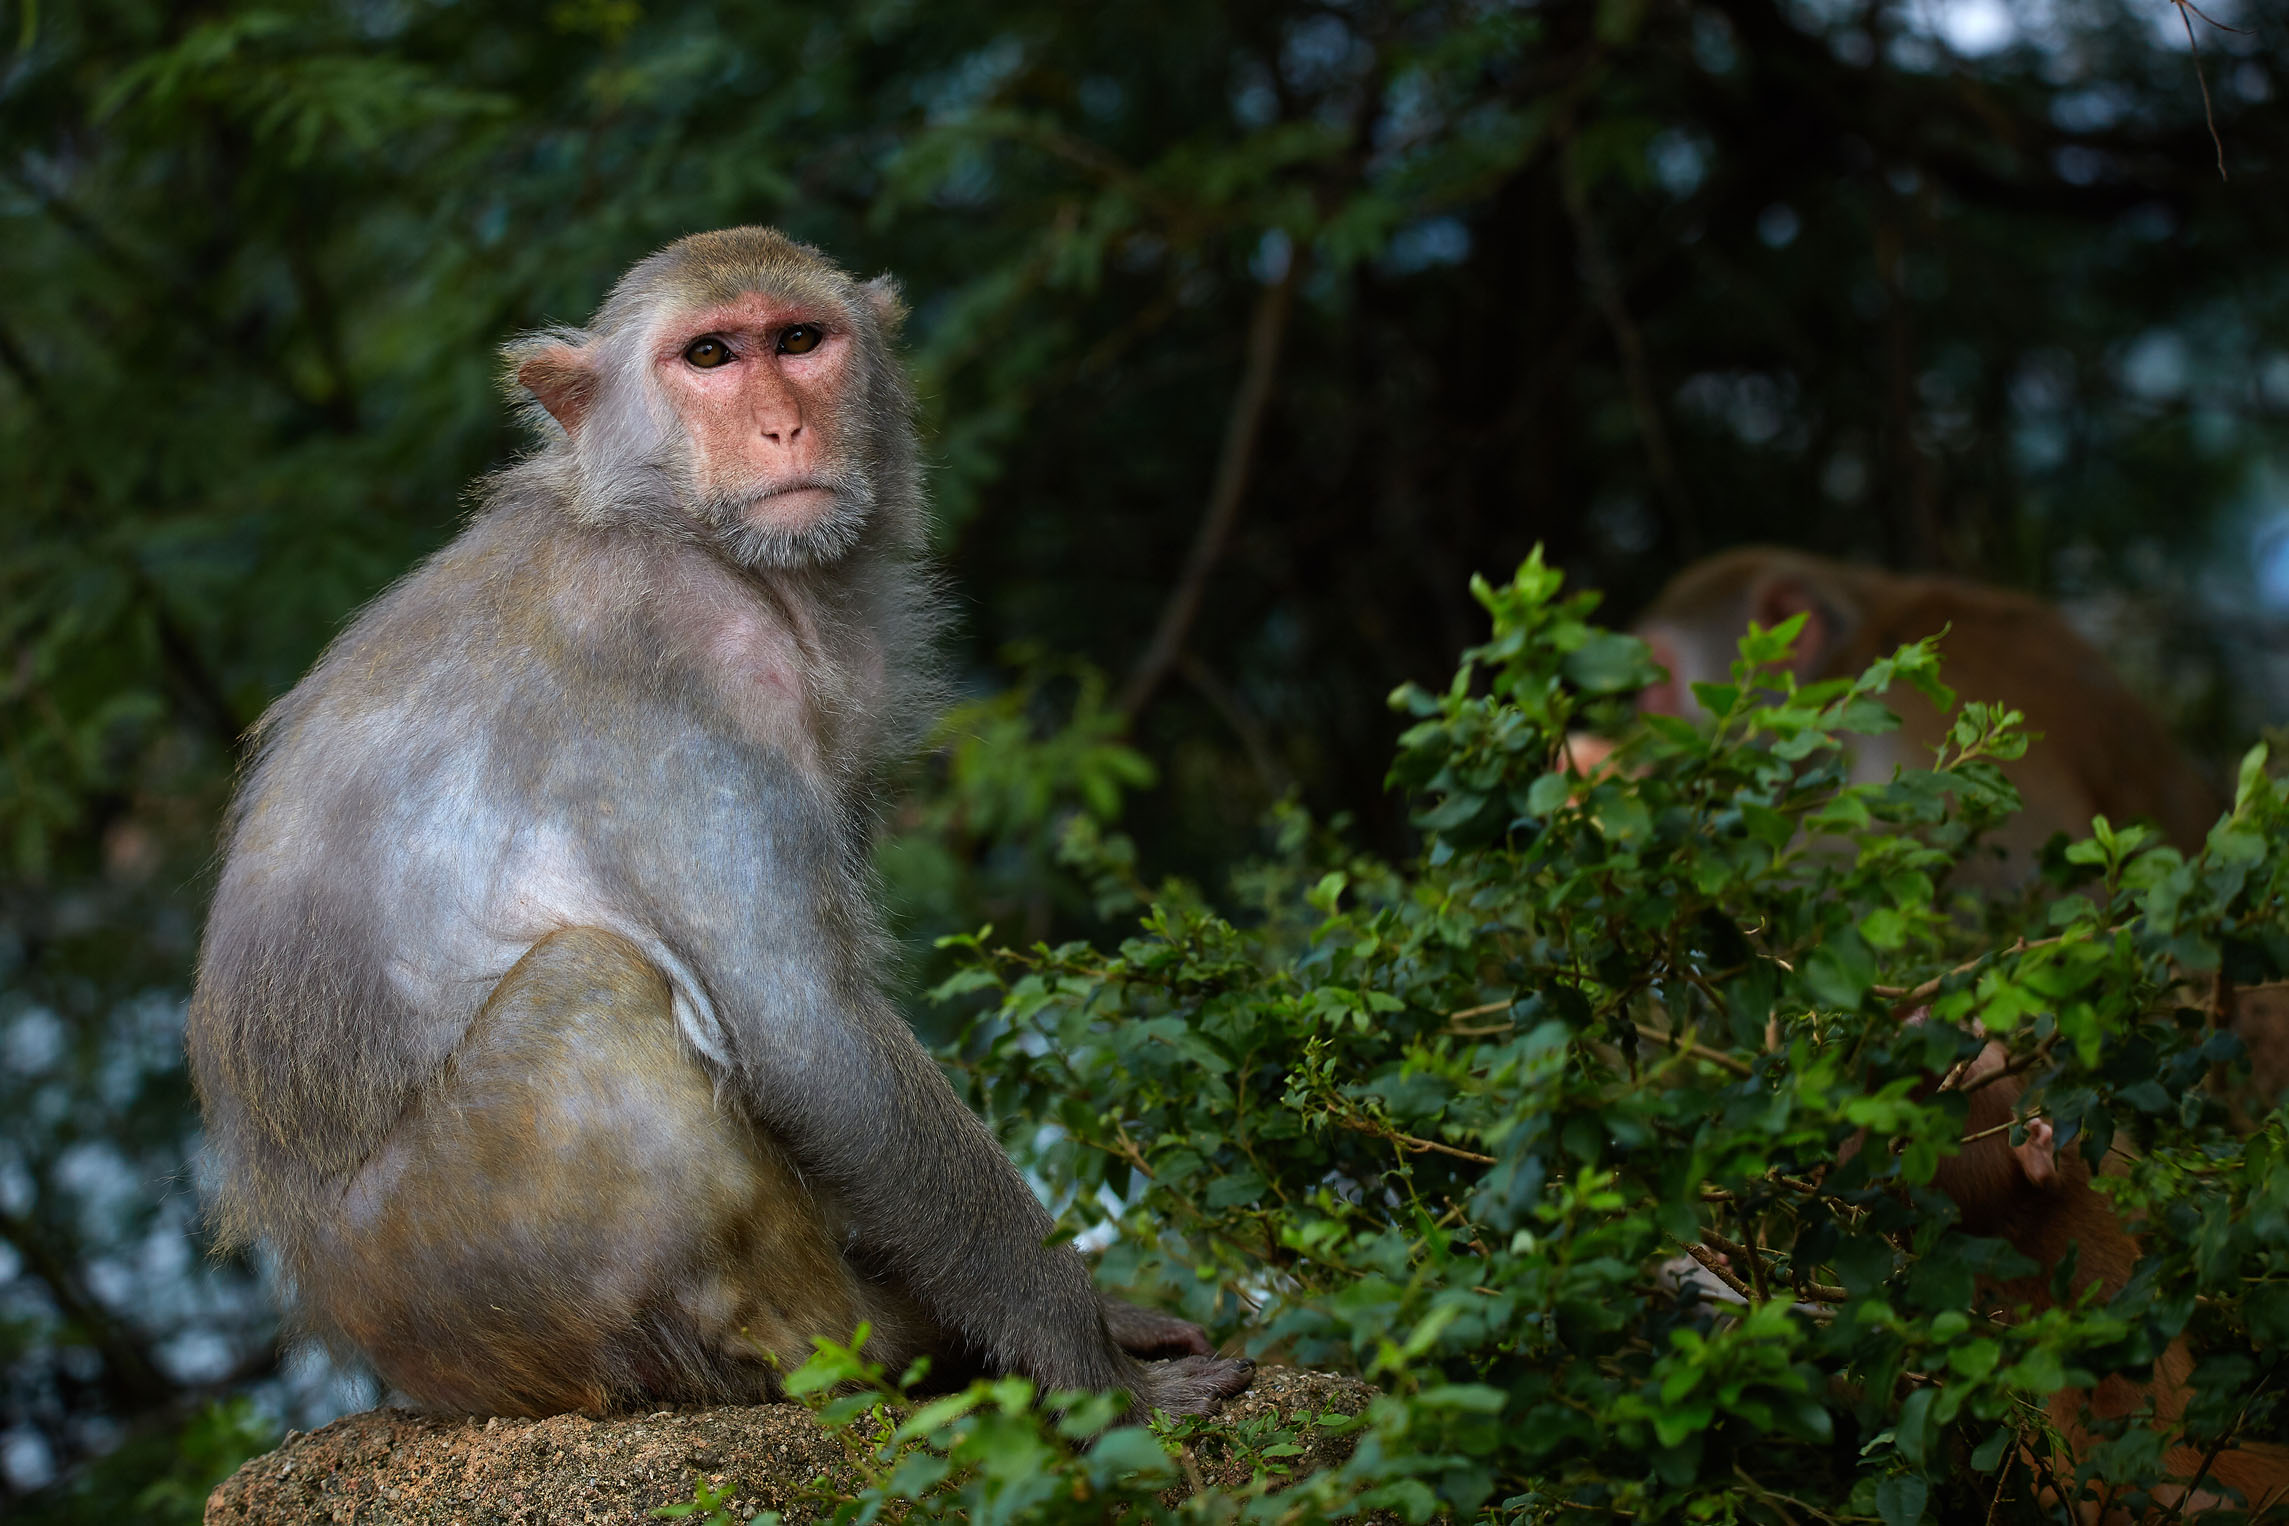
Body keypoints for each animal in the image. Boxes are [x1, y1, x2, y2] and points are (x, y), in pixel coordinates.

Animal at [183, 226, 1254, 1418]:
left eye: (797, 339)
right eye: (709, 355)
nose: (783, 423)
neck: (679, 529)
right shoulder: (688, 661)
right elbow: (808, 1031)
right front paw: (1094, 1370)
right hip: (487, 1283)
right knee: (592, 988)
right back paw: (852, 1342)